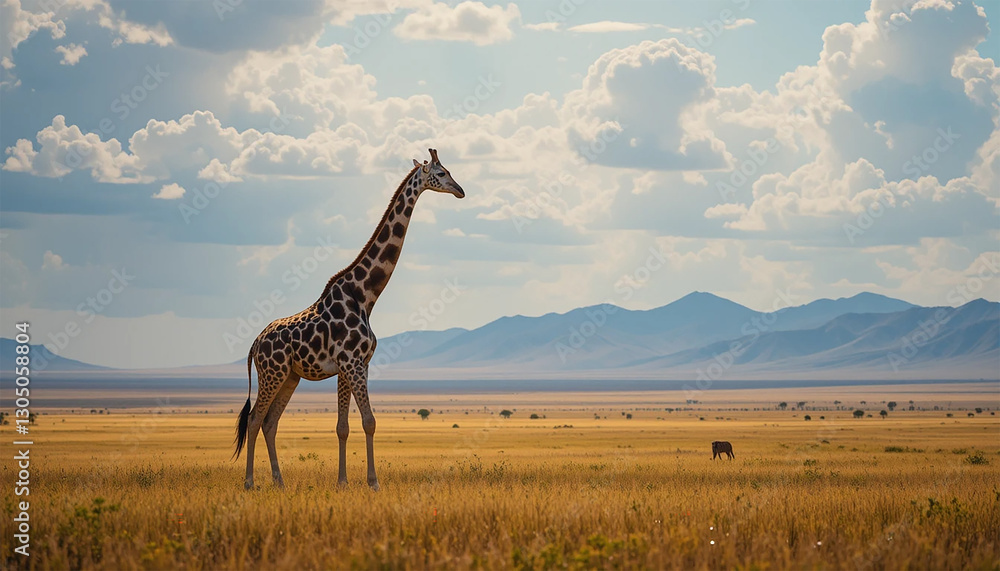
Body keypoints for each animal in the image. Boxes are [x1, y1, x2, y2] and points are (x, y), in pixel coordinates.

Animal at [233, 148, 465, 491]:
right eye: (442, 172)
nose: (461, 190)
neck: (365, 296)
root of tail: (254, 344)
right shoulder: (352, 363)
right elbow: (368, 421)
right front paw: (373, 482)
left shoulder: (354, 365)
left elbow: (346, 425)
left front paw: (343, 481)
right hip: (272, 372)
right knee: (254, 419)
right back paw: (250, 482)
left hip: (290, 376)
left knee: (270, 422)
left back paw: (280, 482)